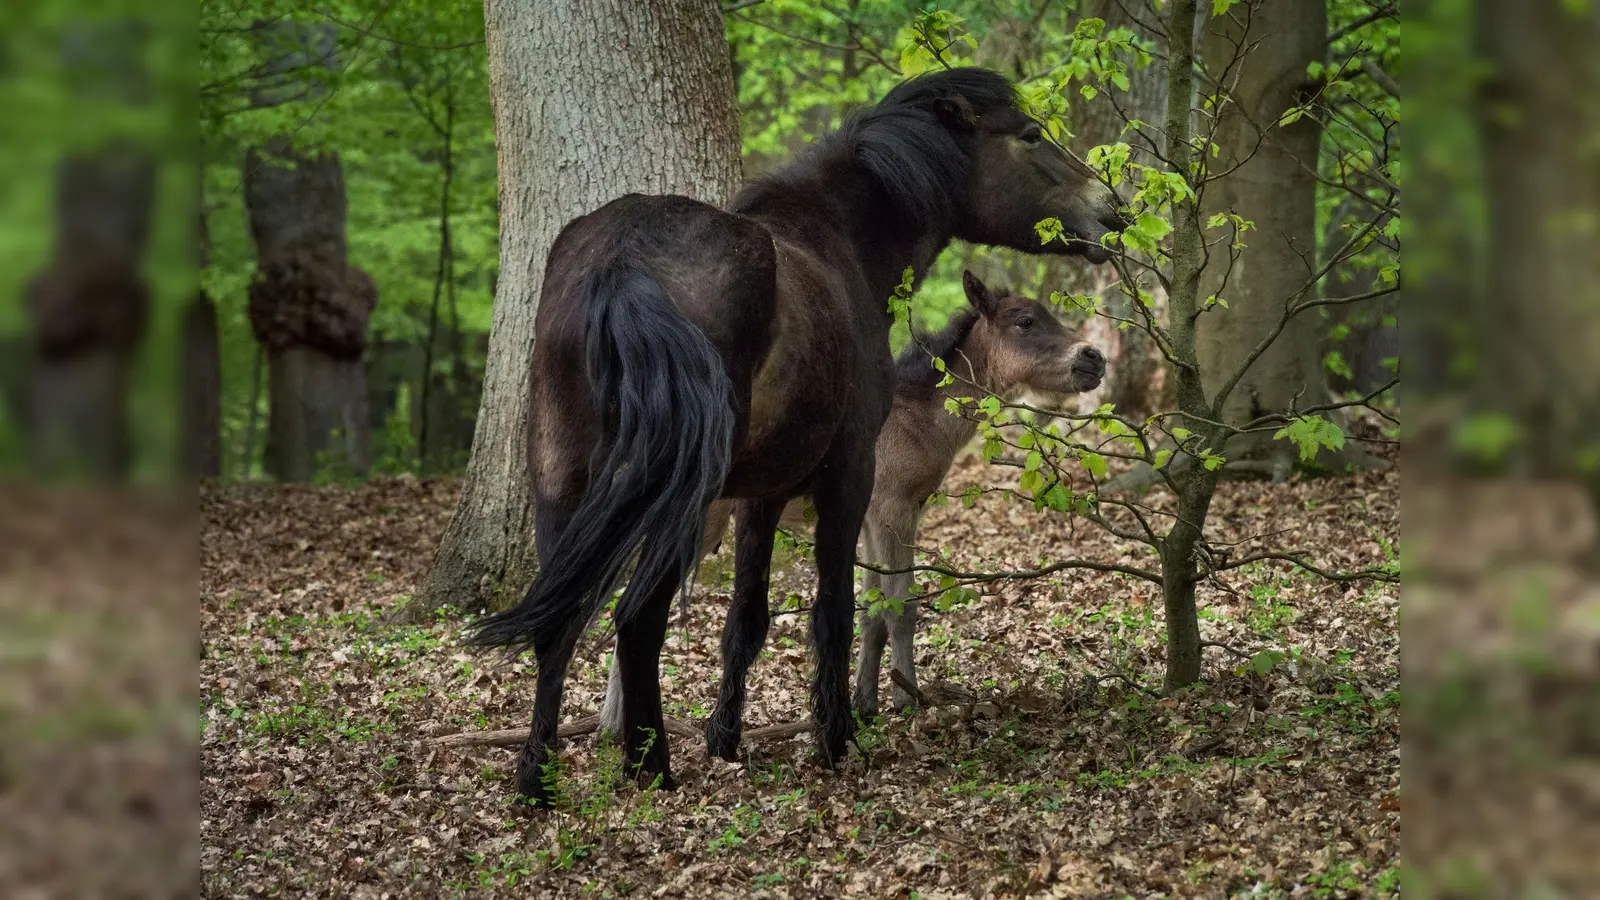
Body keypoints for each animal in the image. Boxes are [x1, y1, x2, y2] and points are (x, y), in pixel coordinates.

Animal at [470, 66, 1126, 800]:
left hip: (564, 482)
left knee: (559, 621)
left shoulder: (766, 492)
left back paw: (540, 777)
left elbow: (750, 621)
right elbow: (845, 609)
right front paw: (839, 733)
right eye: (1031, 134)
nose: (1114, 208)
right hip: (681, 508)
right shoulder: (856, 482)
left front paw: (727, 737)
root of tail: (624, 262)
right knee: (635, 619)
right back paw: (649, 765)